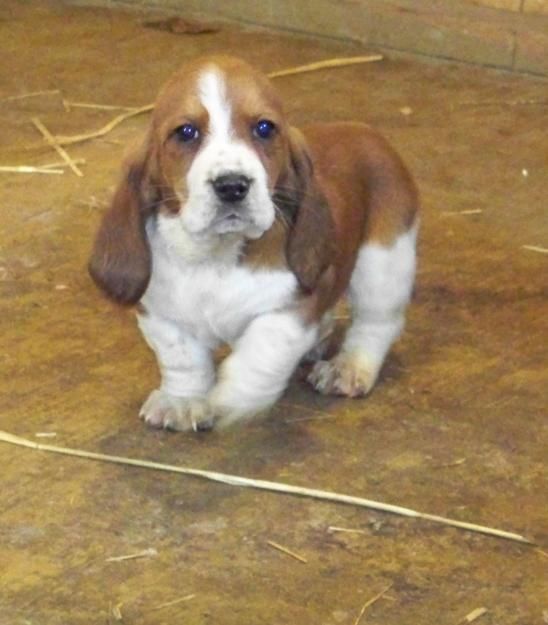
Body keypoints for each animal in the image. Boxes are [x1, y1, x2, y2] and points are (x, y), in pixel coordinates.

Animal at [89, 56, 420, 432]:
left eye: (264, 128)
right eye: (186, 132)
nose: (232, 185)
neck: (216, 257)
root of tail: (365, 131)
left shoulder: (291, 309)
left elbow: (262, 351)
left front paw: (233, 396)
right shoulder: (160, 312)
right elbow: (182, 357)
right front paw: (182, 401)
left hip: (385, 262)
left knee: (376, 324)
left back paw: (347, 367)